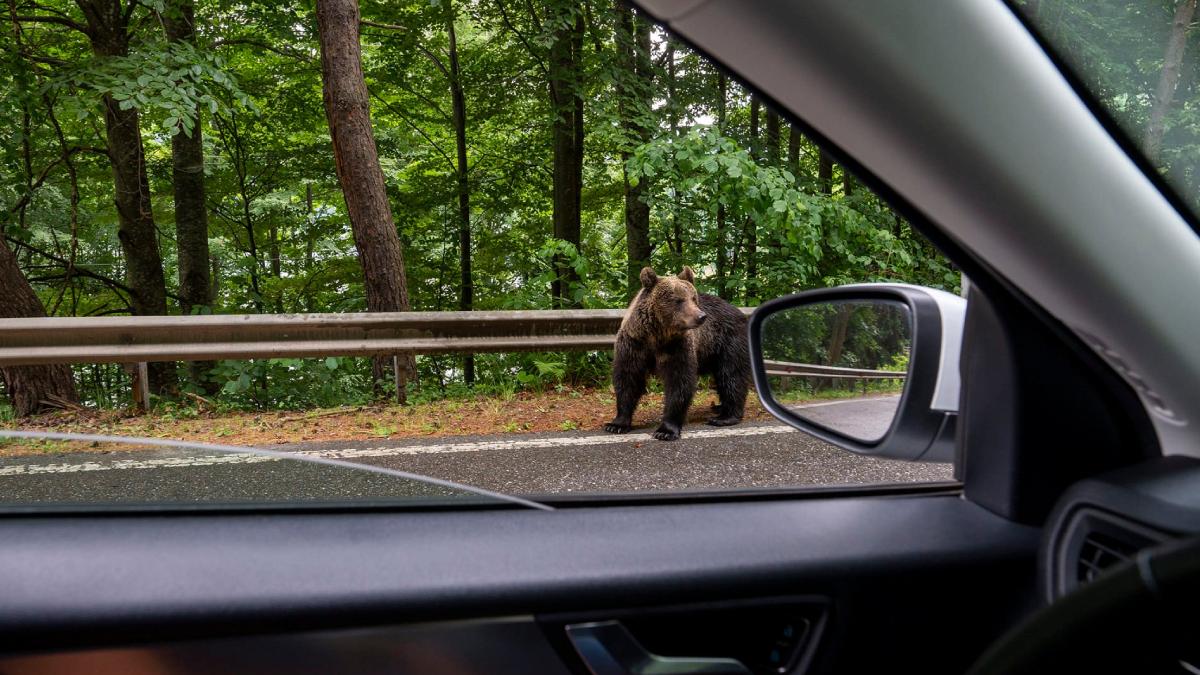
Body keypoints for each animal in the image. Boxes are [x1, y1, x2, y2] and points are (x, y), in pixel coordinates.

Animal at [600, 263, 748, 441]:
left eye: (693, 298)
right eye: (678, 300)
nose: (701, 316)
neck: (657, 335)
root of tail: (737, 310)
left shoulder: (677, 346)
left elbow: (679, 381)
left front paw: (666, 430)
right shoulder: (634, 344)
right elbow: (628, 378)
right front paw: (616, 424)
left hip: (727, 341)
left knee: (731, 374)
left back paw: (725, 416)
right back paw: (719, 408)